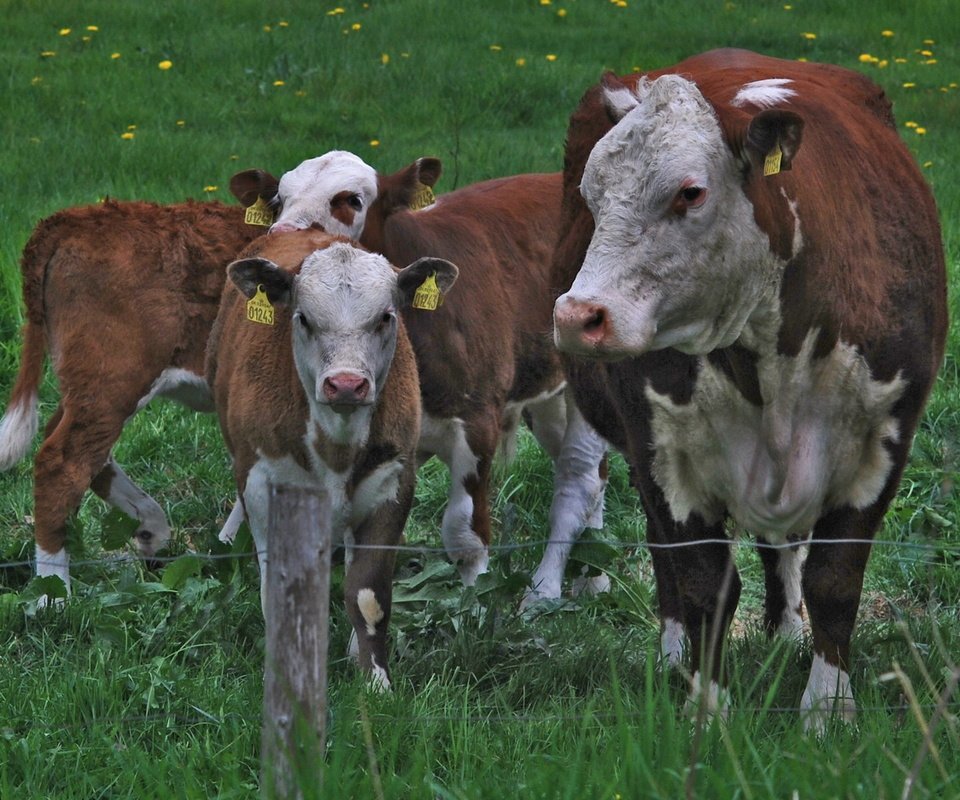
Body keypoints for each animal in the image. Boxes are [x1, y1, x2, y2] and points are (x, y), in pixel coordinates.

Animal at [205, 227, 458, 688]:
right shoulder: (263, 484)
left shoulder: (392, 484)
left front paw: (375, 678)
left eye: (386, 317)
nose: (345, 384)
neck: (336, 445)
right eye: (303, 317)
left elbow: (368, 594)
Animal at [232, 159, 608, 604]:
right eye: (278, 200)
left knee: (578, 480)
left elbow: (464, 534)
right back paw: (594, 574)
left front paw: (473, 604)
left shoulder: (477, 420)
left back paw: (545, 589)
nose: (284, 235)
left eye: (351, 200)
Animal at [552, 47, 948, 728]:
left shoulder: (883, 440)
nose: (579, 316)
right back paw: (672, 652)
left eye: (690, 192)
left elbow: (833, 580)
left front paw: (828, 706)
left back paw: (786, 632)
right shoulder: (662, 450)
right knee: (667, 555)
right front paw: (707, 709)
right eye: (591, 194)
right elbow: (703, 582)